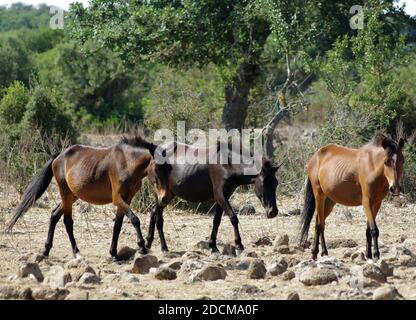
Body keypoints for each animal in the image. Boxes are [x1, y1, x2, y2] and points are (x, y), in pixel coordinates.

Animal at [5, 135, 158, 262]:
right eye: (158, 166)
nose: (162, 194)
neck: (126, 162)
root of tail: (59, 155)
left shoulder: (127, 199)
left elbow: (118, 226)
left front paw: (114, 254)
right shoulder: (118, 198)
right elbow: (134, 219)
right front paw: (142, 247)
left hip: (72, 195)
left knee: (54, 215)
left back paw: (46, 250)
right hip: (65, 193)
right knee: (67, 222)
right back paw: (76, 252)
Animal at [145, 141, 280, 254]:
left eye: (276, 183)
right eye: (264, 183)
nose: (272, 212)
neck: (228, 163)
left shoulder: (224, 196)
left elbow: (216, 221)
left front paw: (213, 246)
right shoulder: (220, 196)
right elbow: (233, 218)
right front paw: (239, 245)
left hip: (167, 195)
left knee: (153, 211)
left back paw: (148, 242)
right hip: (161, 195)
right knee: (158, 218)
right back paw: (163, 247)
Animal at [300, 134, 404, 262]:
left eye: (402, 161)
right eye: (386, 162)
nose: (395, 187)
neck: (372, 166)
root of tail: (315, 156)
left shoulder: (376, 203)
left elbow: (368, 230)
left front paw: (368, 255)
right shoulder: (367, 202)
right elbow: (374, 230)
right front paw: (376, 255)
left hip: (329, 201)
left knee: (317, 221)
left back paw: (316, 253)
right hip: (319, 195)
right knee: (321, 224)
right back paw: (322, 252)